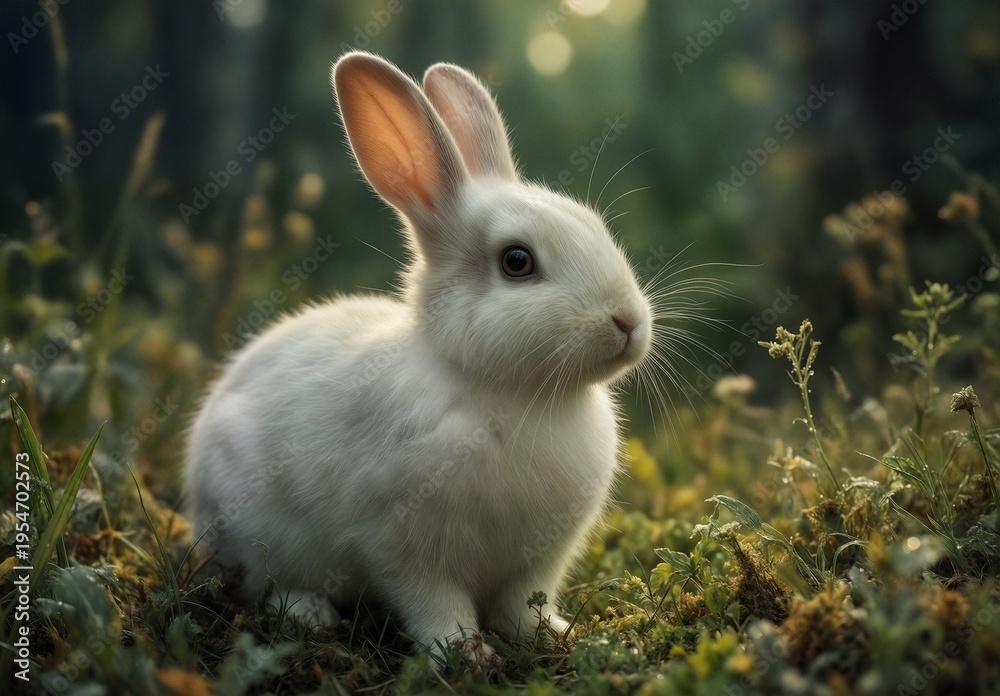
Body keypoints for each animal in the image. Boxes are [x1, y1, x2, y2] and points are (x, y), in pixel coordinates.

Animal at [185, 50, 653, 659]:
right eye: (517, 261)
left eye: (596, 227)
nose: (629, 321)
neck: (508, 390)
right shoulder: (402, 547)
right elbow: (435, 604)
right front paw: (465, 654)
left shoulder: (538, 561)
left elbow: (523, 604)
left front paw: (554, 635)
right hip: (256, 534)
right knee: (264, 582)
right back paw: (311, 614)